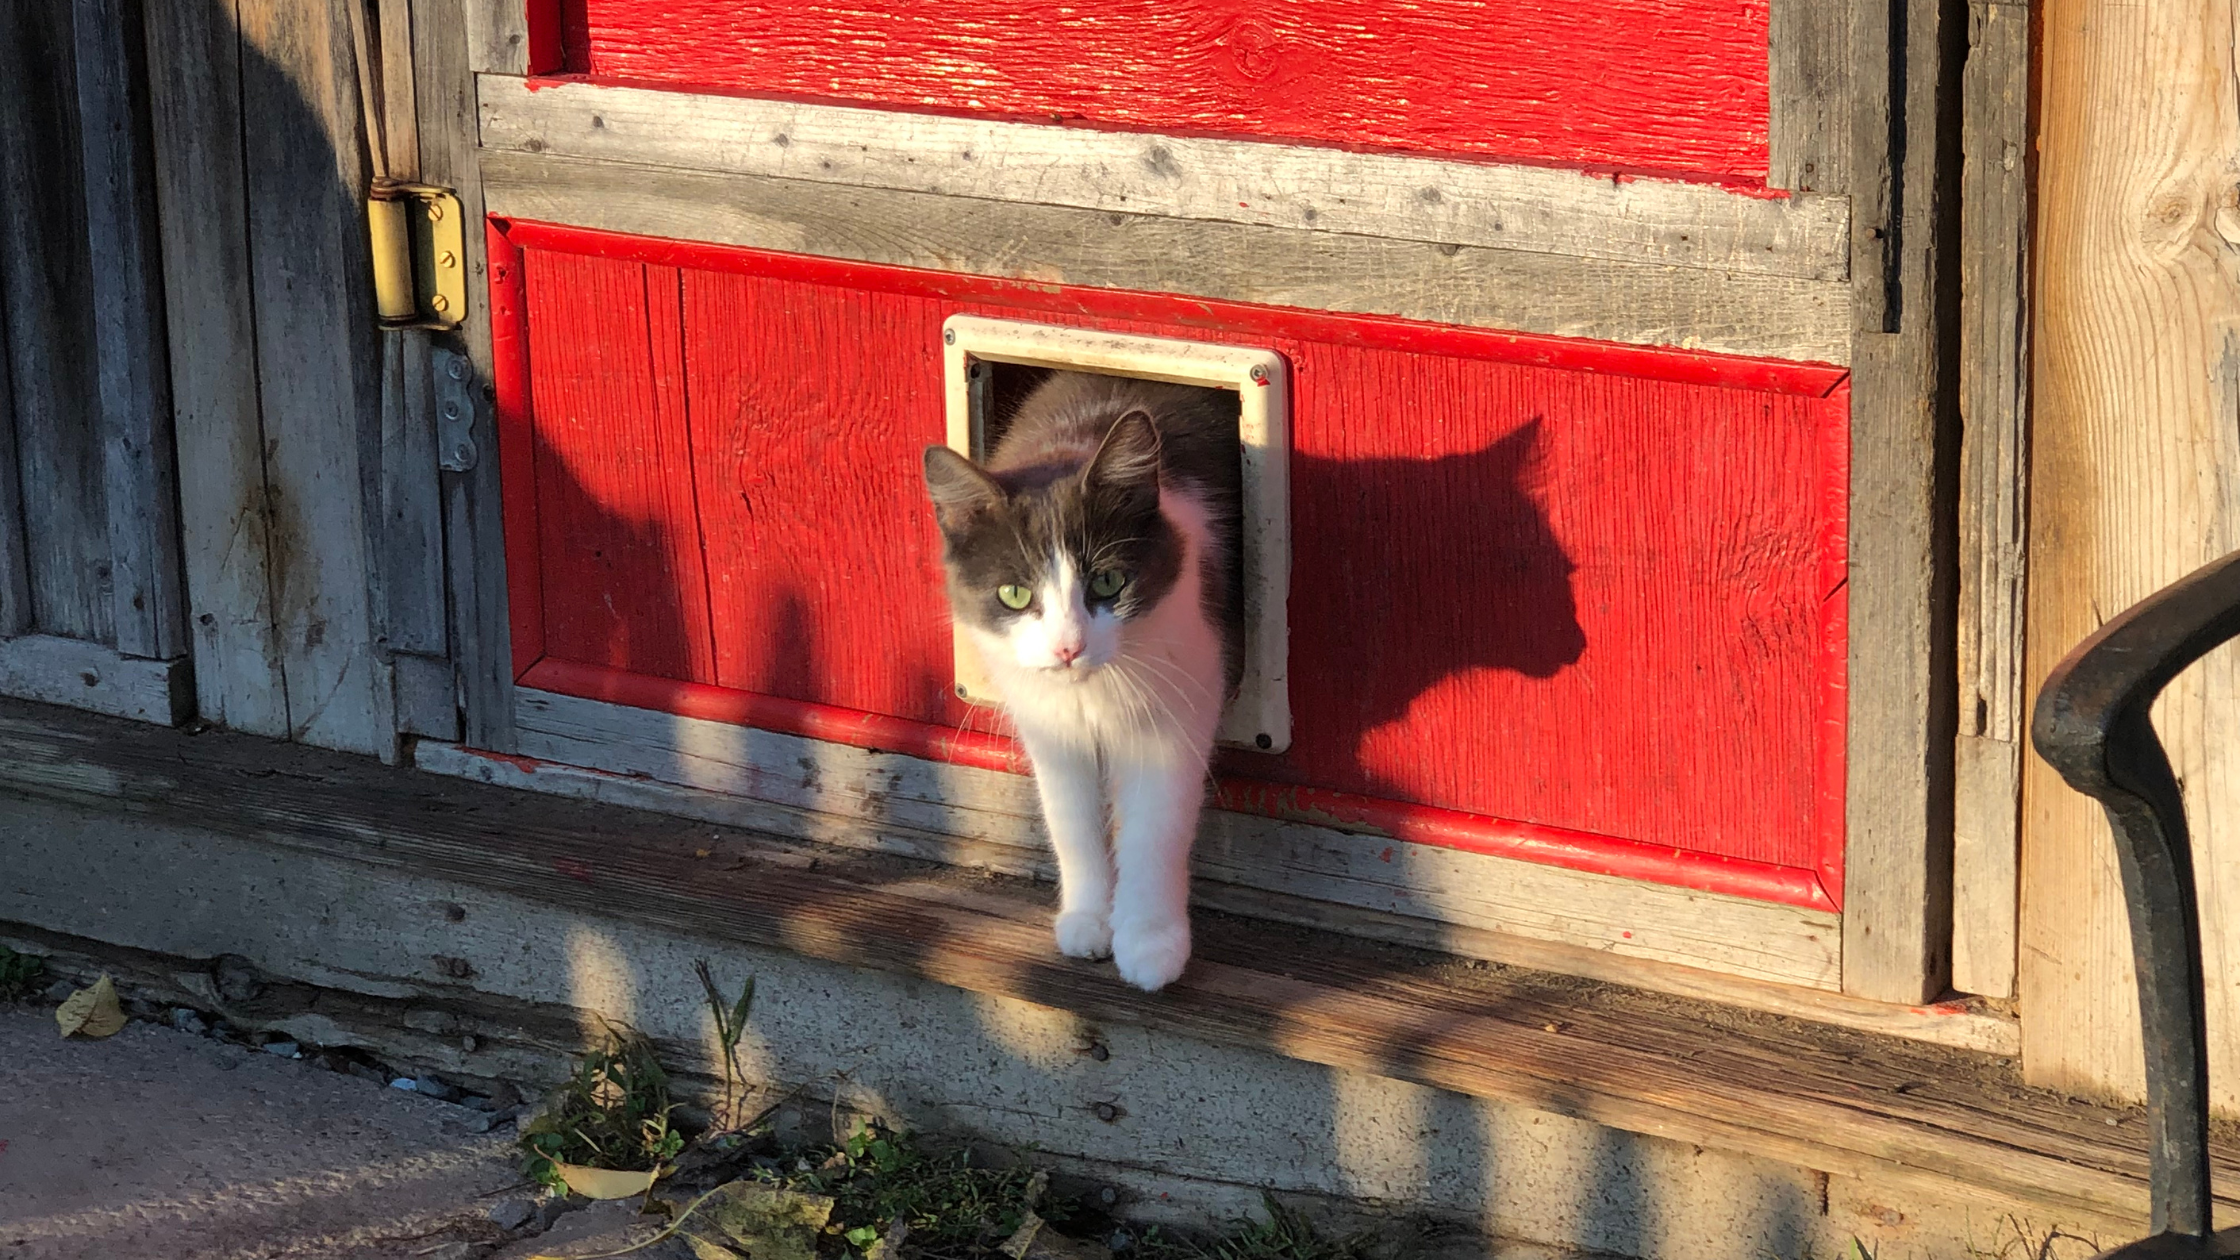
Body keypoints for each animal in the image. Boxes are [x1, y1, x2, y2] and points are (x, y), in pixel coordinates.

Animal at [922, 367, 1254, 986]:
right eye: (1014, 594)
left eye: (1106, 583)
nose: (1068, 647)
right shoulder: (1049, 728)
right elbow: (1070, 821)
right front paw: (1088, 920)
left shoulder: (1178, 705)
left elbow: (1153, 828)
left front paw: (1149, 943)